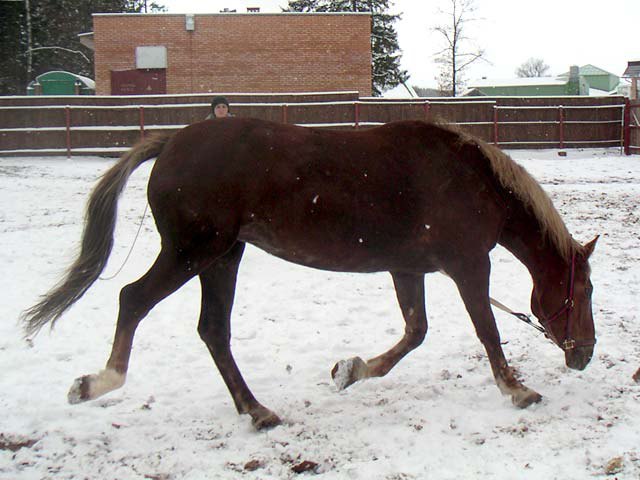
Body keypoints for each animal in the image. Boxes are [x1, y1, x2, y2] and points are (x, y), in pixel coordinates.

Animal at [22, 118, 596, 430]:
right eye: (585, 289)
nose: (585, 354)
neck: (468, 180)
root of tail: (172, 144)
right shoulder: (469, 267)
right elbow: (488, 332)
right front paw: (517, 391)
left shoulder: (407, 268)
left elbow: (414, 334)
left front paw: (351, 370)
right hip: (191, 252)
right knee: (133, 300)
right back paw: (96, 383)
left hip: (222, 258)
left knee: (213, 330)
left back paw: (257, 411)